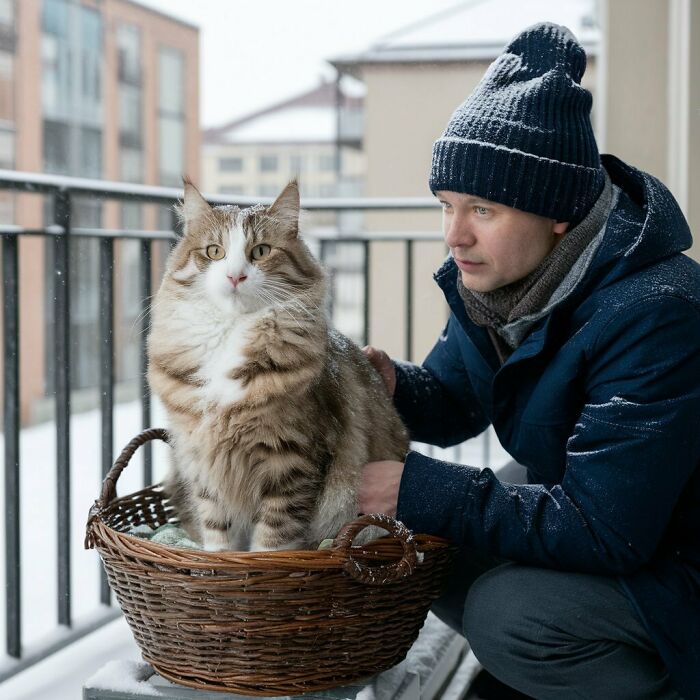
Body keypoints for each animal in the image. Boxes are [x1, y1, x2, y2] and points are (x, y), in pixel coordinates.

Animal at [148, 180, 410, 552]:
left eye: (260, 252)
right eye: (214, 252)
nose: (235, 276)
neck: (231, 334)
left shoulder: (291, 460)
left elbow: (272, 538)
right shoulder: (203, 462)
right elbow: (217, 533)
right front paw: (218, 561)